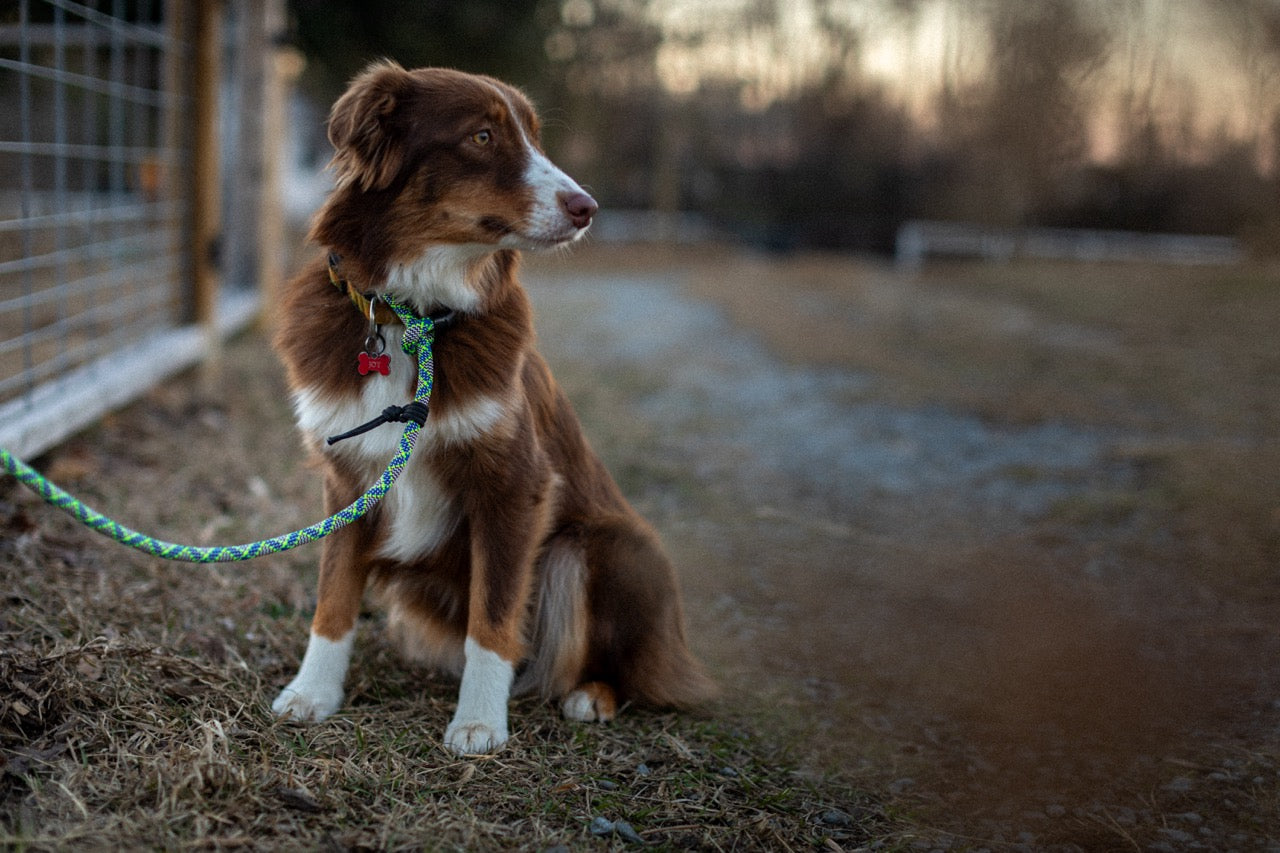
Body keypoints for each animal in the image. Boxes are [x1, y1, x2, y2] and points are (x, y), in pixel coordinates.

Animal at [268, 59, 716, 753]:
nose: (588, 209)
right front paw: (312, 693)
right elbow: (333, 595)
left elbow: (495, 611)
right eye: (482, 137)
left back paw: (591, 695)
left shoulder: (514, 485)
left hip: (608, 548)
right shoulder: (346, 481)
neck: (414, 317)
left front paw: (478, 721)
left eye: (535, 137)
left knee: (632, 667)